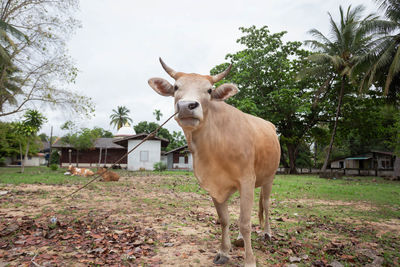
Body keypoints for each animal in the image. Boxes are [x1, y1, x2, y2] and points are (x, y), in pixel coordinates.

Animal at [148, 58, 282, 266]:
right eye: (176, 87)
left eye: (209, 90)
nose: (186, 106)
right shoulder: (214, 185)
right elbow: (225, 219)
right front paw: (224, 252)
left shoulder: (246, 180)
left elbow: (245, 222)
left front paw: (249, 260)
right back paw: (240, 239)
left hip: (269, 177)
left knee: (266, 205)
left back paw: (266, 233)